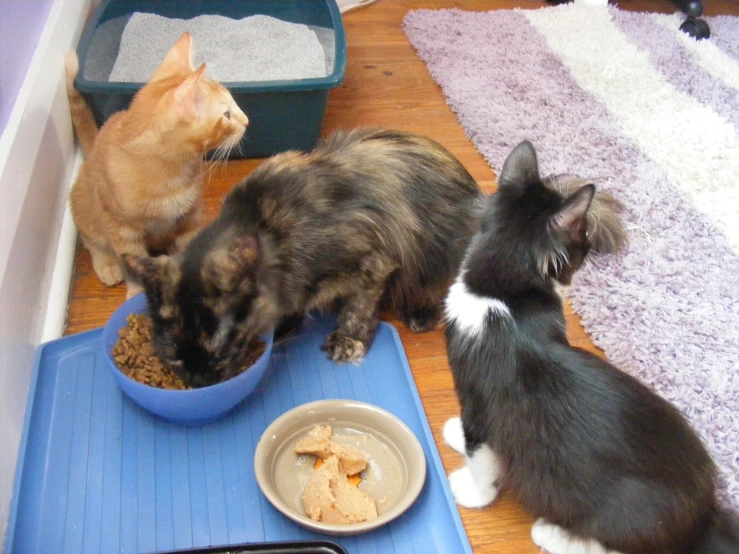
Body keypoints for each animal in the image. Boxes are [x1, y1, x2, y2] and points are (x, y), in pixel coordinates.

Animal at [65, 31, 249, 294]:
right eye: (226, 115)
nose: (247, 121)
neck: (171, 174)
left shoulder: (191, 214)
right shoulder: (121, 230)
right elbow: (129, 258)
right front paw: (135, 292)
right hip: (87, 208)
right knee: (92, 239)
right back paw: (106, 264)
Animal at [124, 126, 482, 384]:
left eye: (219, 351)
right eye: (174, 357)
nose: (199, 382)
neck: (264, 228)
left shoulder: (375, 263)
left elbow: (358, 309)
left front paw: (348, 341)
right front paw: (284, 326)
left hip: (441, 256)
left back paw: (420, 313)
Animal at [442, 141, 736, 552]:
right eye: (582, 244)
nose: (589, 248)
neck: (501, 294)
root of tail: (702, 520)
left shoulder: (479, 403)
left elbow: (481, 456)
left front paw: (471, 490)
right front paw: (457, 435)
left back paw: (550, 532)